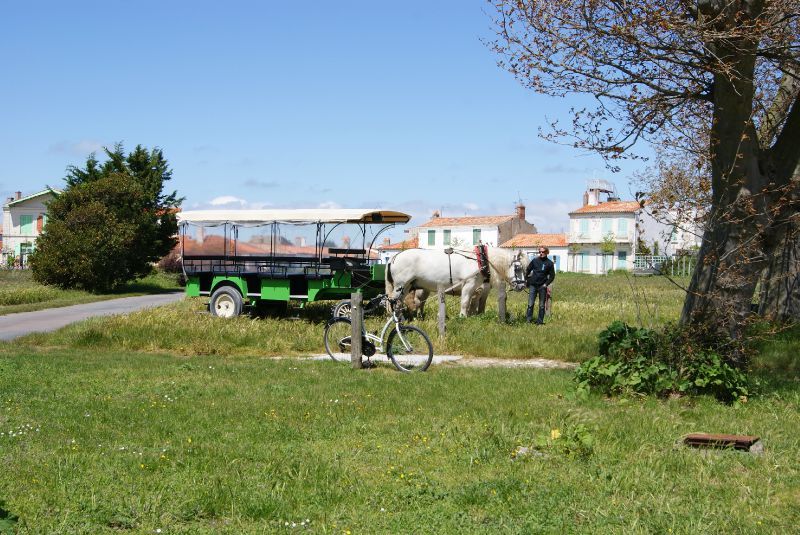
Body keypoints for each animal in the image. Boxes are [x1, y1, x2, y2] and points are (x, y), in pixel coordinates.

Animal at [386, 248, 528, 318]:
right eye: (518, 268)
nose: (522, 286)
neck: (480, 261)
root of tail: (394, 257)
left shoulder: (476, 289)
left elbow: (474, 303)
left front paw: (472, 316)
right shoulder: (469, 284)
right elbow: (465, 302)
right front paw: (462, 317)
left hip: (408, 286)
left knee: (402, 302)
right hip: (401, 285)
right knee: (393, 301)